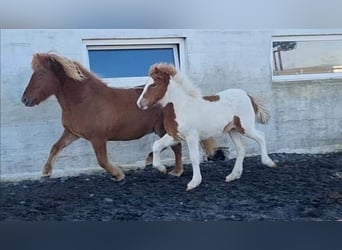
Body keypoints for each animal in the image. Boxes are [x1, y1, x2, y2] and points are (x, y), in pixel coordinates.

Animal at [22, 52, 219, 182]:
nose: (25, 100)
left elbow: (102, 160)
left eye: (40, 74)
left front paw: (118, 174)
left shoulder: (98, 138)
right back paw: (153, 161)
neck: (83, 100)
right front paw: (46, 172)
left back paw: (174, 171)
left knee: (176, 147)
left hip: (163, 128)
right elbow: (55, 147)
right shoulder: (72, 133)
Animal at [137, 63, 278, 190]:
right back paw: (233, 176)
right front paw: (161, 168)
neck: (182, 106)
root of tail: (247, 95)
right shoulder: (175, 135)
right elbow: (156, 145)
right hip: (233, 130)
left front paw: (194, 182)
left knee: (261, 136)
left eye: (154, 84)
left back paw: (268, 162)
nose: (140, 104)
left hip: (245, 128)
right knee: (241, 149)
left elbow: (194, 158)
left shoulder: (192, 137)